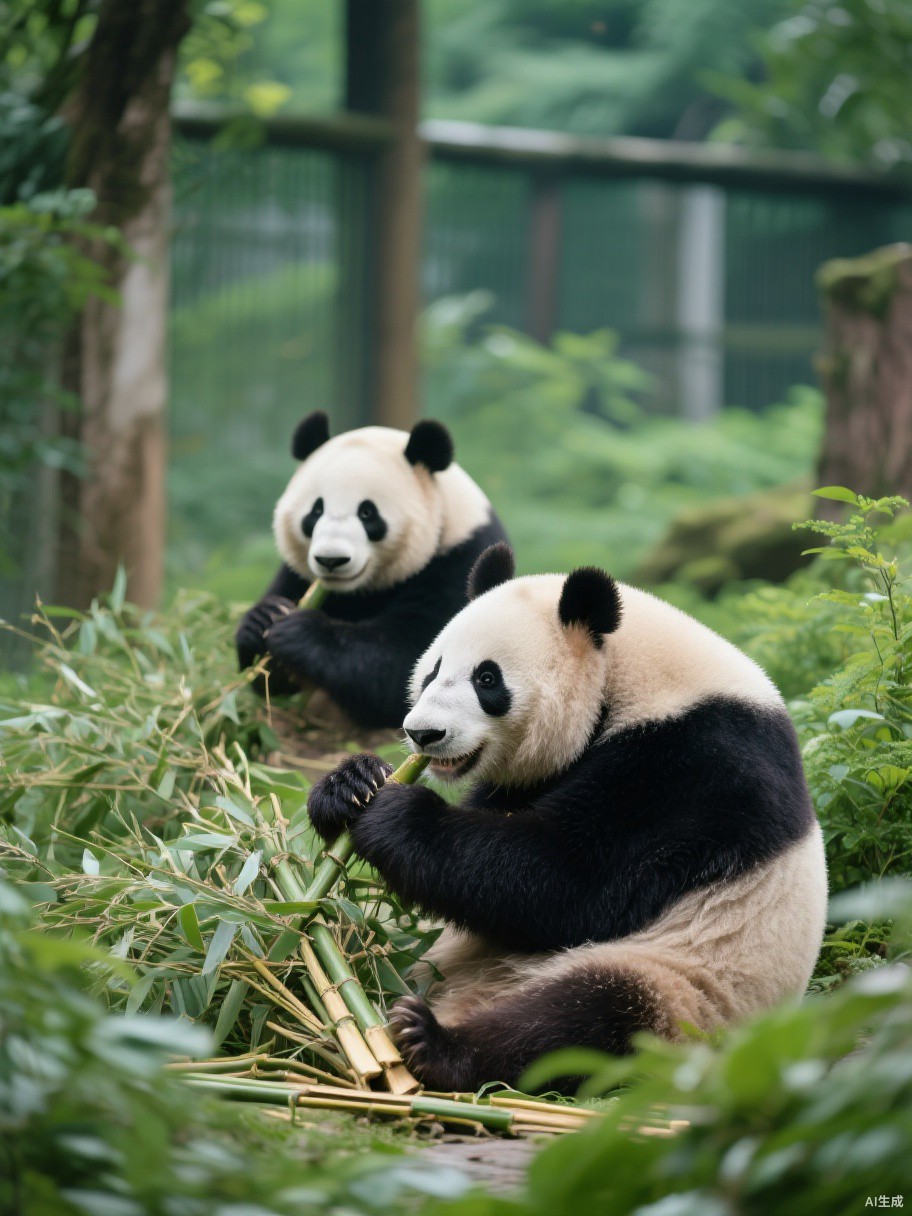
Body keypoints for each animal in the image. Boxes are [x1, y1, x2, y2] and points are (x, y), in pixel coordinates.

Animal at [235, 412, 508, 728]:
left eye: (367, 513)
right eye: (316, 511)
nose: (331, 560)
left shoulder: (460, 561)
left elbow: (410, 658)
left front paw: (301, 632)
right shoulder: (299, 575)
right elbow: (274, 684)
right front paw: (261, 621)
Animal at [307, 543, 828, 1093]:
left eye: (487, 679)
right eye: (433, 670)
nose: (423, 733)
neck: (629, 674)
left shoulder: (696, 766)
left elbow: (571, 883)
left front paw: (397, 815)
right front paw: (352, 785)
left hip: (685, 989)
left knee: (581, 1020)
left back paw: (432, 1043)